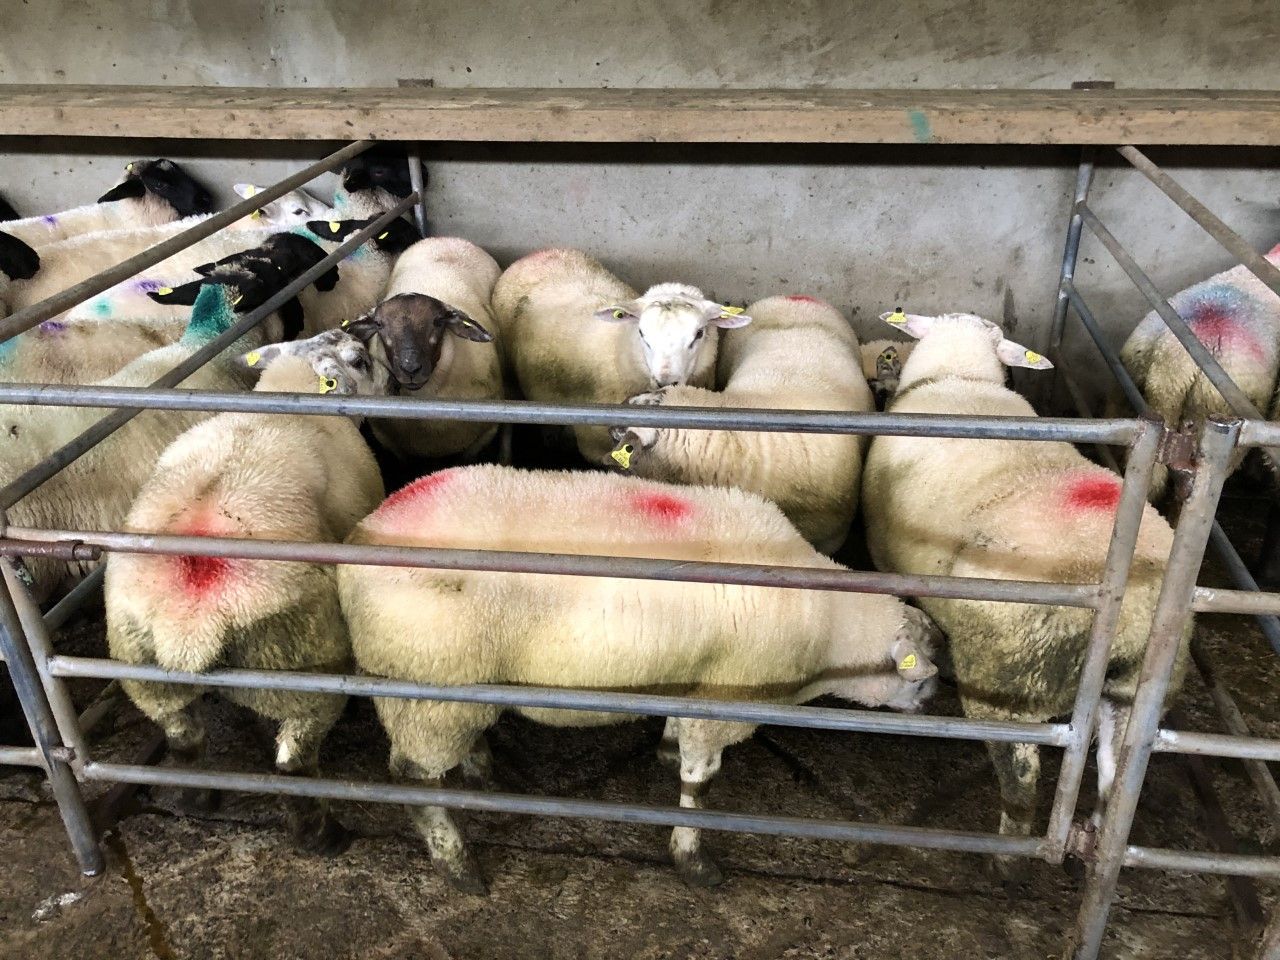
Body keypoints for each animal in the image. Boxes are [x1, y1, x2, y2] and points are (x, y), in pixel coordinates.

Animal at [105, 329, 387, 853]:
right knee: (292, 763)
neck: (287, 393)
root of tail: (190, 617)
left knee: (184, 740)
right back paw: (321, 836)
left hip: (145, 670)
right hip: (304, 661)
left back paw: (198, 797)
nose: (364, 331)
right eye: (359, 360)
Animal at [338, 464, 942, 892]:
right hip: (425, 684)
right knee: (412, 779)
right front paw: (693, 861)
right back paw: (456, 863)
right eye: (916, 677)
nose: (934, 699)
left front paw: (667, 749)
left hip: (444, 689)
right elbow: (699, 785)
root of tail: (360, 538)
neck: (831, 626)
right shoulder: (728, 698)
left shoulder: (697, 683)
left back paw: (480, 772)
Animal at [343, 237, 503, 461]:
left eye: (438, 322)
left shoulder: (483, 437)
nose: (410, 368)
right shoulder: (391, 444)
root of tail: (445, 239)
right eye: (379, 325)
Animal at [491, 248, 750, 463]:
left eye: (699, 333)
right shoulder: (593, 442)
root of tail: (539, 253)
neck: (620, 349)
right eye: (642, 333)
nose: (665, 381)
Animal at [860, 310, 1188, 870]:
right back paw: (1095, 837)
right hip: (1133, 694)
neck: (960, 375)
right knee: (1112, 777)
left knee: (1022, 778)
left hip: (1009, 680)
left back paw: (1008, 859)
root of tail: (1126, 607)